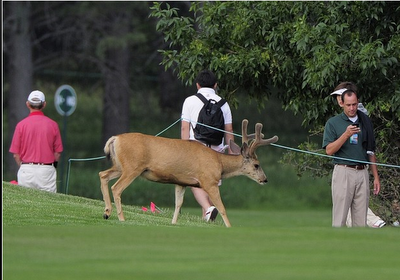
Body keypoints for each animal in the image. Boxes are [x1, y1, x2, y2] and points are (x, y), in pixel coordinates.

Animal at [99, 118, 278, 228]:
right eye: (257, 165)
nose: (265, 179)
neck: (220, 164)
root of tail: (115, 138)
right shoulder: (209, 181)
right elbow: (221, 207)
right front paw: (229, 226)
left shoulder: (181, 182)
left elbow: (178, 204)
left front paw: (173, 223)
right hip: (132, 166)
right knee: (116, 188)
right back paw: (121, 218)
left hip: (120, 166)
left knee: (103, 174)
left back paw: (107, 212)